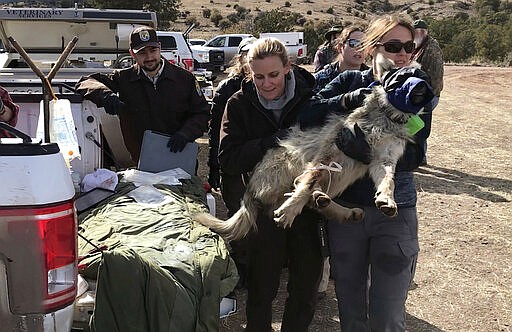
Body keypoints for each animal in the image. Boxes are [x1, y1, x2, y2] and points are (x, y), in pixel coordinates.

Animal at [195, 55, 432, 240]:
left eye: (425, 77)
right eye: (401, 77)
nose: (420, 86)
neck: (387, 117)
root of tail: (249, 193)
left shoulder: (383, 159)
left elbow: (389, 181)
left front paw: (386, 198)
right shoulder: (330, 151)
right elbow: (308, 182)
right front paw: (290, 210)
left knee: (311, 196)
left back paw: (338, 208)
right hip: (292, 158)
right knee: (298, 185)